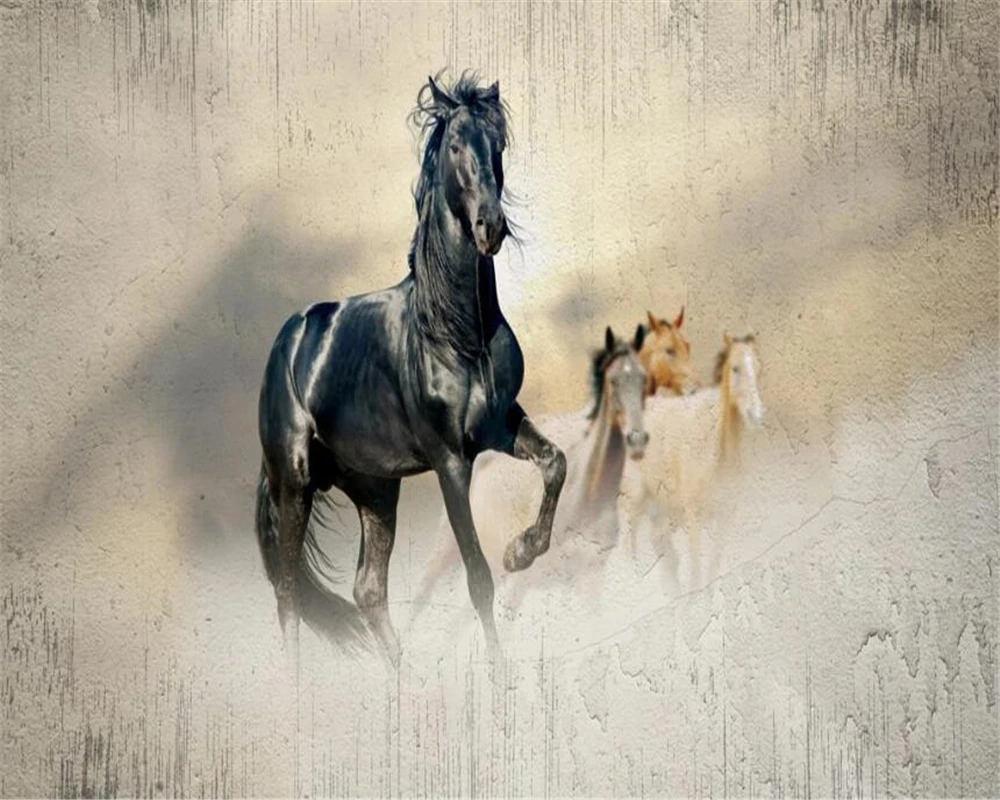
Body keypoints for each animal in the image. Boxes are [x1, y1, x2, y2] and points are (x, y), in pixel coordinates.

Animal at [254, 73, 566, 667]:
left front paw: (522, 551)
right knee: (286, 593)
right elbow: (477, 578)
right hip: (296, 482)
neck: (457, 333)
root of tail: (287, 343)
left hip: (375, 491)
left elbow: (556, 464)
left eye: (498, 143)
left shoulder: (502, 426)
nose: (491, 226)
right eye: (455, 145)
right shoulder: (450, 462)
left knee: (368, 590)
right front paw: (499, 672)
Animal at [412, 325, 649, 618]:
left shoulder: (590, 578)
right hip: (445, 552)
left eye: (644, 380)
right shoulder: (523, 580)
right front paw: (519, 551)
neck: (590, 496)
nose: (637, 439)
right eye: (614, 382)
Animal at [624, 333, 765, 581]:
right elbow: (697, 572)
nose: (756, 414)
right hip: (634, 498)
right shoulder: (693, 515)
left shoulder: (725, 517)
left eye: (758, 368)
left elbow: (712, 571)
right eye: (735, 368)